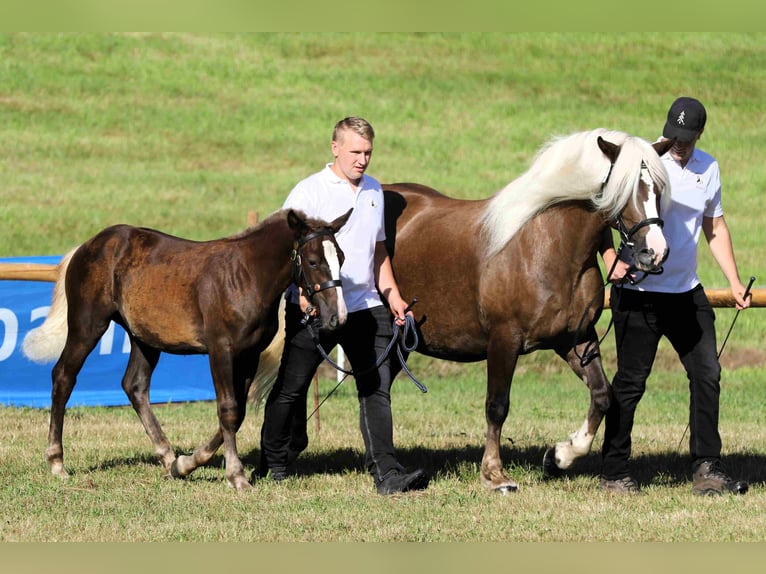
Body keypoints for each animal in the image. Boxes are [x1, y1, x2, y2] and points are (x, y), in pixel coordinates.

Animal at [21, 209, 352, 492]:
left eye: (342, 258)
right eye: (313, 261)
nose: (338, 317)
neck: (245, 276)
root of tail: (88, 245)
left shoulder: (249, 355)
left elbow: (238, 412)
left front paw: (186, 464)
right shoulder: (220, 350)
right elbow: (228, 409)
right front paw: (236, 477)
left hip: (145, 338)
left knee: (134, 386)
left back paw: (168, 458)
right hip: (88, 325)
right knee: (63, 377)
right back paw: (57, 462)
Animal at [384, 130, 672, 496]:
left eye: (658, 189)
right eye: (626, 189)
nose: (656, 253)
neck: (548, 246)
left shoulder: (576, 340)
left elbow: (602, 395)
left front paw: (560, 456)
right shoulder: (504, 340)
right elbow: (497, 406)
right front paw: (495, 475)